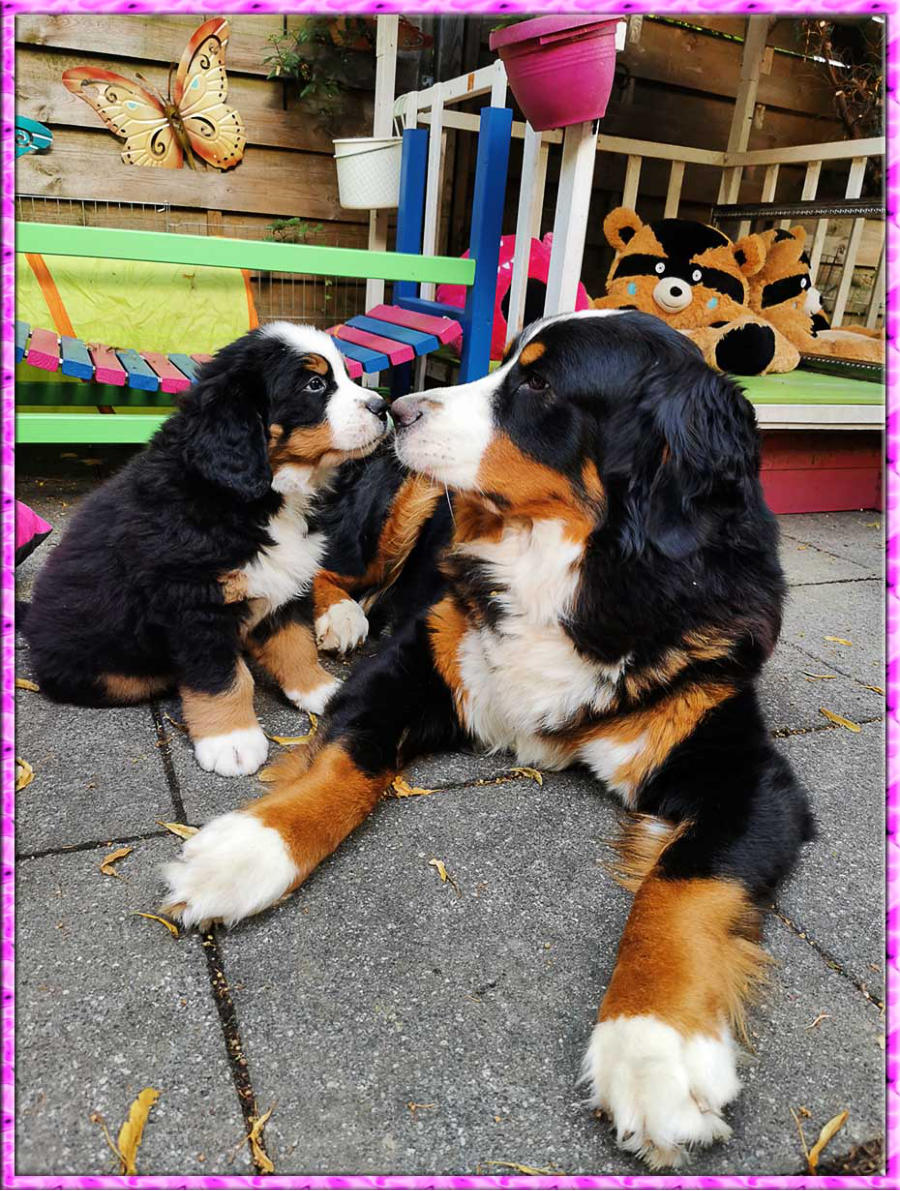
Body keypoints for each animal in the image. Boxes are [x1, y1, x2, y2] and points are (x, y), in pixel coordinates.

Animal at [23, 322, 389, 777]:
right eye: (315, 384)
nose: (383, 407)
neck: (264, 497)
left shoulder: (289, 584)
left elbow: (295, 643)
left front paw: (317, 689)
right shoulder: (194, 603)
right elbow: (224, 678)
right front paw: (231, 741)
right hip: (105, 669)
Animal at [163, 310, 813, 1168]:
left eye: (536, 383)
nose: (395, 410)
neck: (571, 567)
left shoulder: (745, 770)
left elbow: (685, 883)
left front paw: (653, 1049)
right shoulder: (411, 662)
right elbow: (344, 761)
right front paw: (242, 853)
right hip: (403, 507)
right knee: (331, 566)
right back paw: (338, 616)